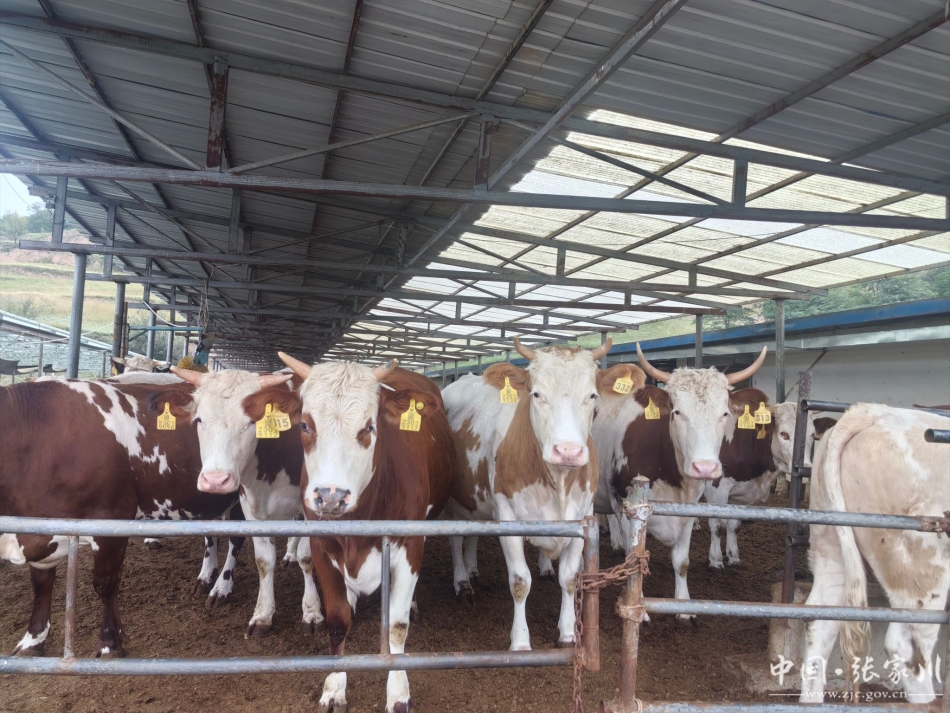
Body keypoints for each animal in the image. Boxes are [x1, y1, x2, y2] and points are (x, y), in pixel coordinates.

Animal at [0, 379, 237, 657]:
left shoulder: (110, 522)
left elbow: (105, 584)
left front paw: (109, 644)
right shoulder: (37, 529)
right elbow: (40, 584)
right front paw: (33, 640)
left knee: (238, 541)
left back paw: (222, 589)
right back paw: (205, 577)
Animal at [154, 367, 322, 636]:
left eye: (252, 422)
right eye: (199, 420)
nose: (216, 480)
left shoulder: (312, 507)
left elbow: (308, 558)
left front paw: (312, 612)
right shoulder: (251, 509)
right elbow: (263, 561)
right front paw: (262, 614)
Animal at [252, 352, 454, 713]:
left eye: (369, 427)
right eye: (305, 425)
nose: (331, 495)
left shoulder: (410, 544)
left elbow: (396, 625)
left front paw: (398, 693)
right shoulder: (323, 547)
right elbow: (337, 621)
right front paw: (334, 687)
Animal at [443, 338, 612, 651]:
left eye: (593, 395)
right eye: (536, 393)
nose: (567, 451)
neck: (558, 482)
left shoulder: (583, 517)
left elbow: (570, 578)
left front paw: (568, 633)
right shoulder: (508, 519)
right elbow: (520, 582)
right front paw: (520, 642)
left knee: (473, 534)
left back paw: (472, 571)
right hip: (452, 499)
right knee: (457, 538)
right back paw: (462, 582)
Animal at [592, 345, 768, 621]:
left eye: (725, 414)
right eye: (677, 412)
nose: (704, 467)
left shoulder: (687, 509)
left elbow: (682, 562)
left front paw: (684, 607)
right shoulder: (625, 504)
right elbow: (634, 561)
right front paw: (637, 607)